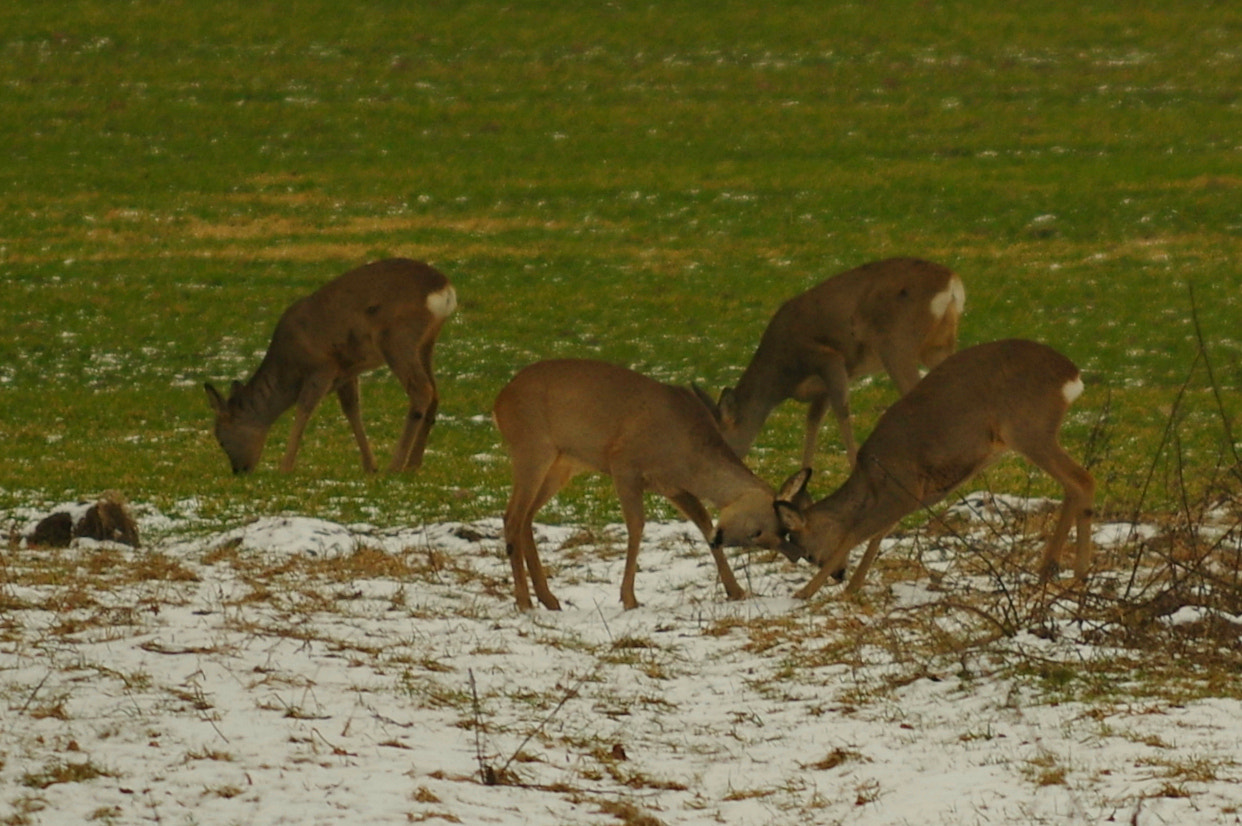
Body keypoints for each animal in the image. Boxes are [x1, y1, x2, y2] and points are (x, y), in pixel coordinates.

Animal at [203, 258, 457, 476]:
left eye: (221, 439)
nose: (239, 471)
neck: (289, 367)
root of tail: (445, 290)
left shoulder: (322, 366)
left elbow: (304, 409)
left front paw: (285, 467)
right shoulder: (347, 371)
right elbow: (352, 410)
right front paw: (370, 466)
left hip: (396, 337)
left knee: (421, 390)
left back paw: (395, 466)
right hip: (425, 343)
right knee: (434, 393)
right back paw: (413, 464)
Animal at [489, 357, 809, 608]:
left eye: (784, 532)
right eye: (757, 532)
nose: (795, 555)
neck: (685, 454)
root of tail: (498, 402)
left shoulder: (673, 486)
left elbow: (704, 523)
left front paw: (736, 591)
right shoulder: (623, 463)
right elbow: (636, 526)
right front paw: (629, 598)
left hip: (563, 463)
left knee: (526, 517)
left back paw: (548, 598)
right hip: (531, 446)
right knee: (512, 516)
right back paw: (524, 601)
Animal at [700, 254, 958, 467]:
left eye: (720, 440)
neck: (784, 377)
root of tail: (952, 282)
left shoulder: (827, 358)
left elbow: (841, 410)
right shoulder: (822, 385)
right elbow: (813, 419)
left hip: (896, 343)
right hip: (936, 345)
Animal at [775, 337, 1097, 596]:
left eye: (807, 552)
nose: (838, 575)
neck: (870, 481)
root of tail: (1071, 375)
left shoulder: (900, 487)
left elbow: (857, 532)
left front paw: (805, 593)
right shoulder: (920, 494)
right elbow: (879, 534)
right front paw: (853, 589)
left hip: (1028, 428)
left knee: (1082, 480)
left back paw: (1074, 572)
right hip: (1031, 433)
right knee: (1072, 485)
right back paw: (1055, 571)